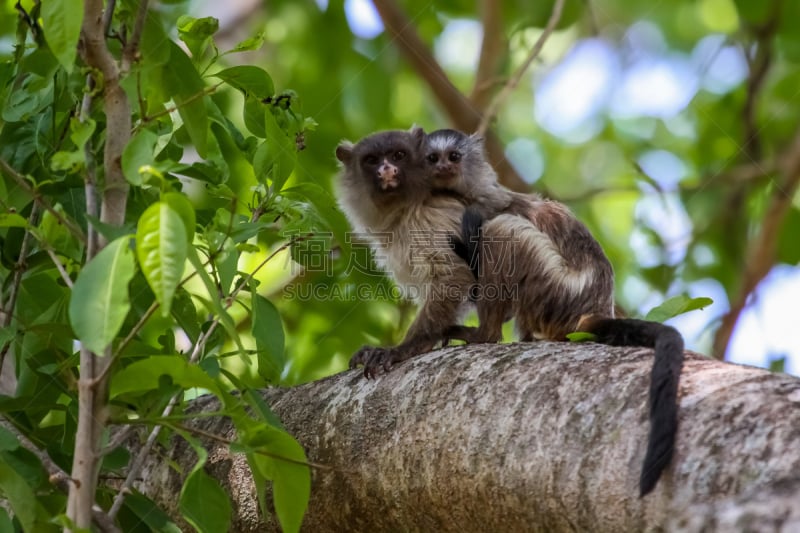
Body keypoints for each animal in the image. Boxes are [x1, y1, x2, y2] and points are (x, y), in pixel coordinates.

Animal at [332, 128, 476, 378]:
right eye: (372, 160)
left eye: (398, 155)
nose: (387, 169)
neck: (405, 211)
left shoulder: (436, 219)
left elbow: (455, 273)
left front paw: (407, 347)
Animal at [428, 128, 684, 494]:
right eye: (431, 158)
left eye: (454, 156)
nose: (442, 168)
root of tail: (592, 307)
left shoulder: (488, 205)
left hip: (553, 289)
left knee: (504, 230)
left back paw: (483, 335)